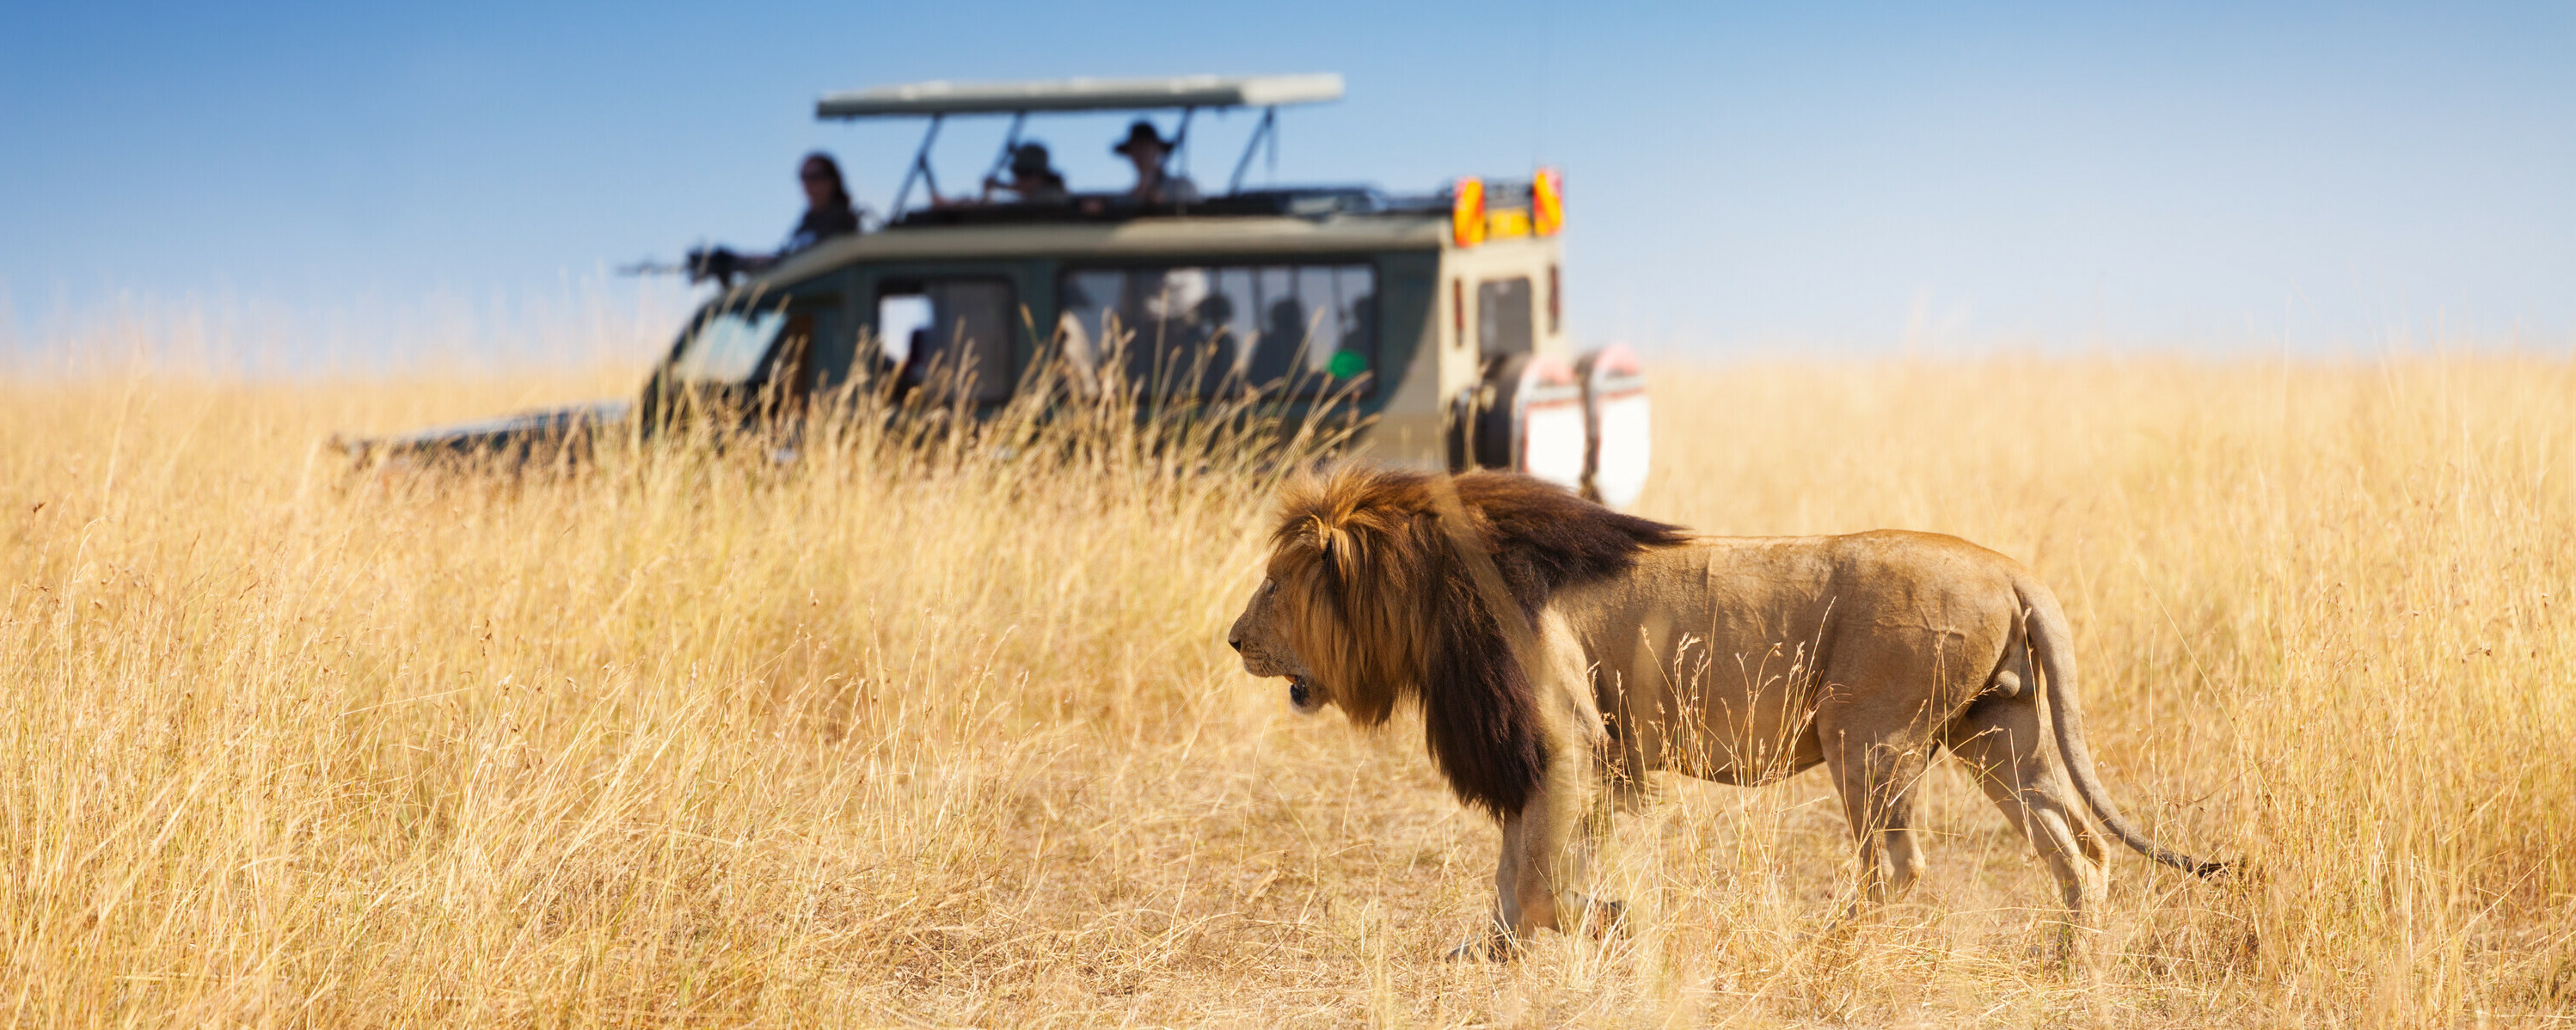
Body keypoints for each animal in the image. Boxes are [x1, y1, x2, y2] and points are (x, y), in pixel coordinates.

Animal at [1221, 466, 2215, 968]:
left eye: (1272, 585)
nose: (1233, 639)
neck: (1431, 589)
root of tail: (2010, 567)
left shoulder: (1566, 738)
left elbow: (1538, 875)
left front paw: (1607, 923)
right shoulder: (1571, 754)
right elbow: (1518, 867)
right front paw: (1496, 949)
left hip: (1869, 736)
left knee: (1897, 865)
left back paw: (1827, 946)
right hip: (1998, 733)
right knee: (2078, 847)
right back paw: (2070, 956)